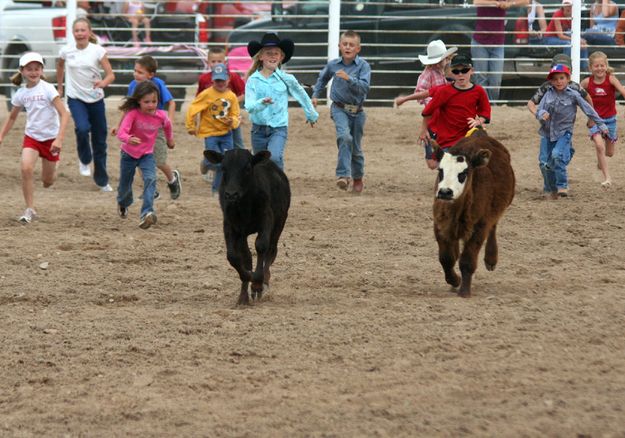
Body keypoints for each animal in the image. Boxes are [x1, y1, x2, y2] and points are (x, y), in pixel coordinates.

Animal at [432, 129, 516, 294]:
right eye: (440, 170)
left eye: (464, 173)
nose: (445, 192)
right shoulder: (440, 224)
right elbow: (446, 258)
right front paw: (454, 280)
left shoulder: (479, 227)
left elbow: (467, 260)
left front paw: (464, 291)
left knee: (493, 227)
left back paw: (491, 259)